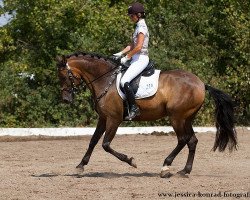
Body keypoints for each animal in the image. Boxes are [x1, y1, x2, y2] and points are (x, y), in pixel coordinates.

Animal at [56, 52, 236, 177]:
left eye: (64, 76)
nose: (65, 99)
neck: (105, 80)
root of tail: (201, 83)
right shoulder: (103, 118)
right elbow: (93, 141)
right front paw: (81, 165)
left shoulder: (114, 119)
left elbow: (106, 144)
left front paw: (131, 161)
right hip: (186, 118)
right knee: (192, 141)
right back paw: (185, 171)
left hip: (176, 117)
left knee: (183, 139)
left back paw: (165, 167)